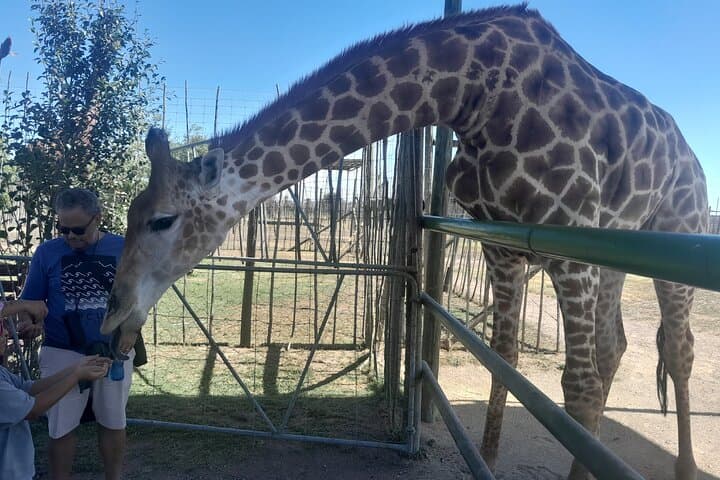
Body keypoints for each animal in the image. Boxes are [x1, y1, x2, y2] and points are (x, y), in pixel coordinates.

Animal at [100, 5, 708, 479]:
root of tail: (694, 163)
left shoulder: (565, 234)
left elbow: (576, 387)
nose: (114, 314)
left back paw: (684, 465)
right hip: (612, 255)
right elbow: (504, 359)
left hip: (676, 233)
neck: (472, 92)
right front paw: (486, 460)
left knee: (675, 351)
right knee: (613, 347)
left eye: (162, 220)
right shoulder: (501, 245)